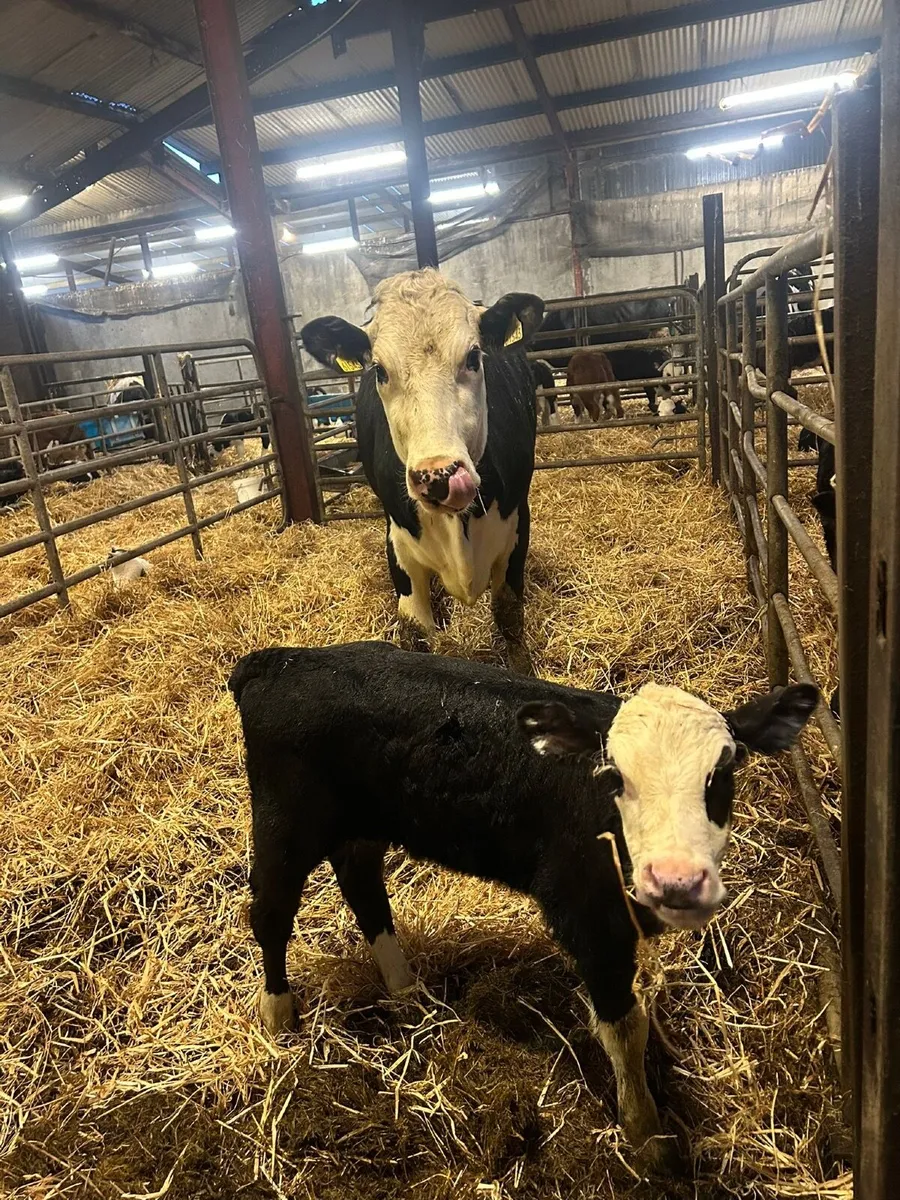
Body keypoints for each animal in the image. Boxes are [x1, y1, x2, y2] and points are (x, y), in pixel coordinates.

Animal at [229, 641, 817, 1173]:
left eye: (724, 773)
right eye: (615, 776)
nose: (677, 880)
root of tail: (276, 661)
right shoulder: (585, 914)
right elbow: (624, 1028)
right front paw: (648, 1138)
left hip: (362, 824)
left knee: (362, 883)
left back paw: (406, 990)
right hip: (287, 822)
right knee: (271, 912)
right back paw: (278, 1015)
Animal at [300, 270, 544, 666]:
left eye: (473, 356)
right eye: (380, 370)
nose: (438, 476)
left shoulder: (516, 529)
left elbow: (509, 618)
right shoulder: (399, 546)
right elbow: (416, 630)